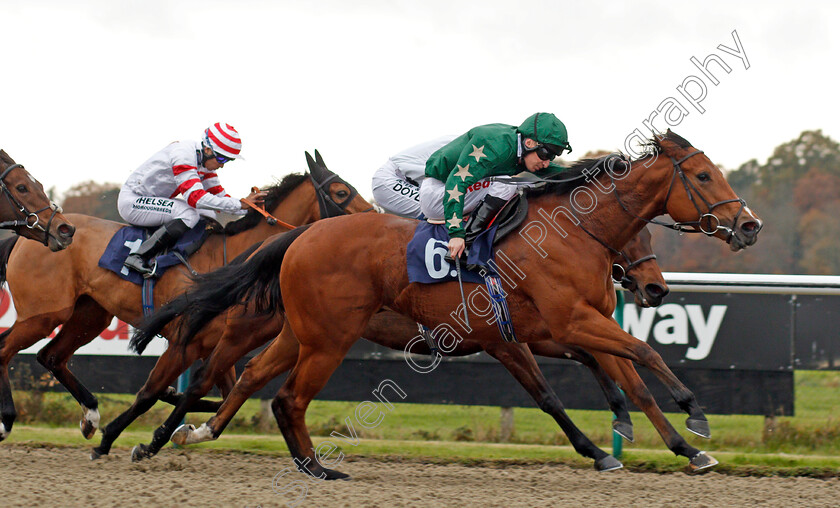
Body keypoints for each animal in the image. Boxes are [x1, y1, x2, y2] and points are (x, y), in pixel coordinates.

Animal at [0, 153, 370, 442]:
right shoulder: (186, 339)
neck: (233, 258)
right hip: (44, 313)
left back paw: (90, 416)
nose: (373, 215)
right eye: (341, 191)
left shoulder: (216, 343)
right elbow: (182, 392)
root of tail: (35, 234)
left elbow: (218, 393)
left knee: (50, 356)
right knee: (7, 350)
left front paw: (176, 410)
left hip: (90, 315)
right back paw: (7, 421)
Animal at [131, 129, 760, 478]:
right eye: (704, 175)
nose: (749, 225)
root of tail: (300, 235)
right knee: (236, 379)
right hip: (311, 333)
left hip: (301, 330)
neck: (571, 231)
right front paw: (692, 418)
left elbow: (622, 373)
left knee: (245, 377)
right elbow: (635, 358)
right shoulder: (558, 324)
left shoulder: (556, 327)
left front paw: (670, 445)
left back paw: (192, 434)